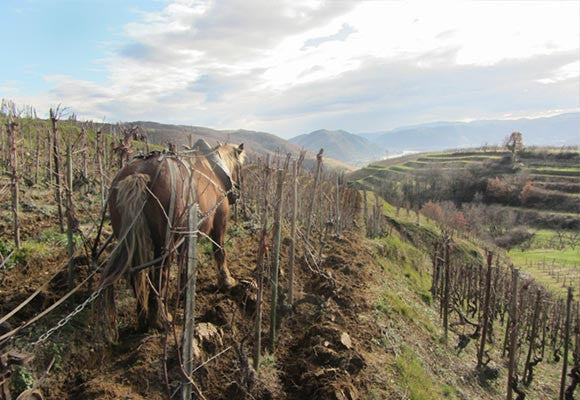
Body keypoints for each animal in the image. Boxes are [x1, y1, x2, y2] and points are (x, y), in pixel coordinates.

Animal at [99, 141, 245, 334]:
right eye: (240, 167)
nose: (237, 192)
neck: (213, 170)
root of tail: (139, 174)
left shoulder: (187, 236)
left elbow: (184, 264)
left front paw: (183, 291)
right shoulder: (219, 224)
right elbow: (220, 251)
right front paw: (227, 280)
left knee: (137, 274)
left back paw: (143, 317)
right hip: (165, 243)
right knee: (160, 274)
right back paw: (161, 318)